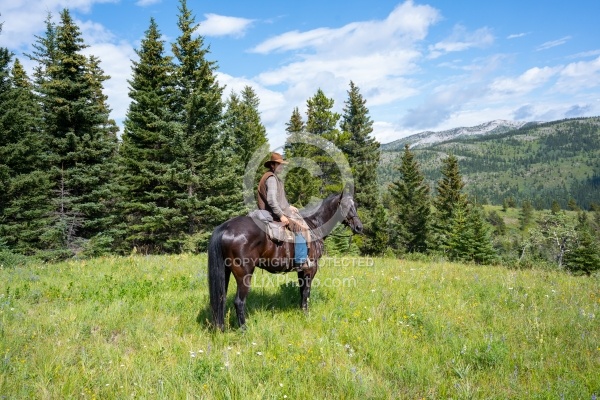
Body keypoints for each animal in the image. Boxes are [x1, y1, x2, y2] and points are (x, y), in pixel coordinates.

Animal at [206, 189, 364, 330]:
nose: (359, 227)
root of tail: (226, 227)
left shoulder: (301, 270)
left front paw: (301, 311)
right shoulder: (311, 269)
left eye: (355, 206)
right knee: (239, 302)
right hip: (244, 274)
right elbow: (306, 293)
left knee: (221, 298)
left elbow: (301, 291)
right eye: (346, 206)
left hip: (225, 271)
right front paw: (306, 314)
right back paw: (244, 329)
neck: (315, 225)